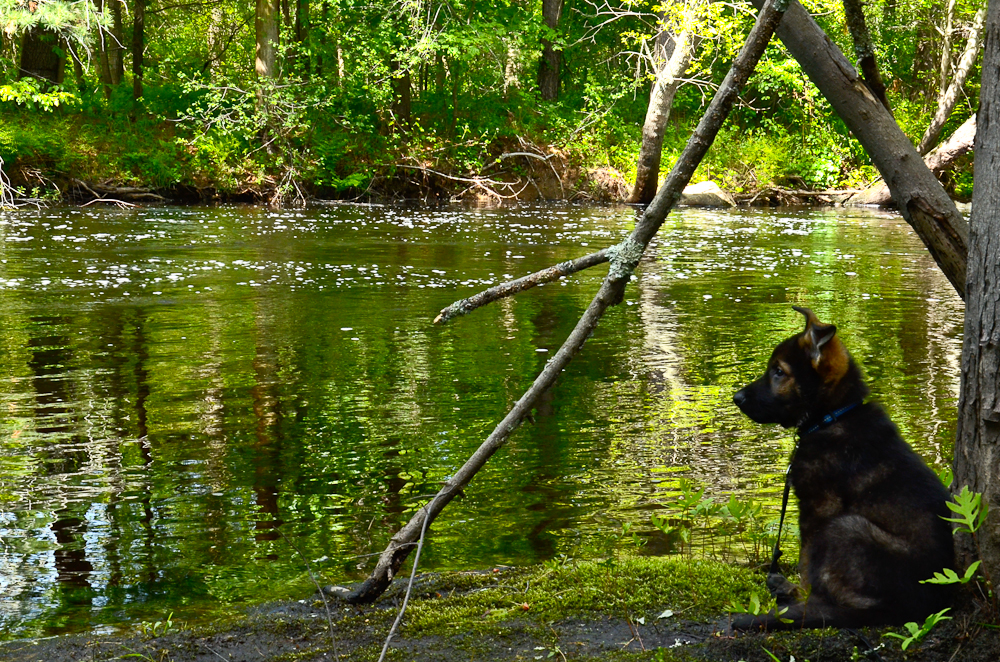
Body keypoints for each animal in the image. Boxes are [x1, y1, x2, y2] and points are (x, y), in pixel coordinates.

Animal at [732, 308, 956, 632]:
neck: (832, 417)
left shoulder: (819, 508)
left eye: (779, 372)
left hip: (843, 528)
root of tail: (910, 610)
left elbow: (807, 563)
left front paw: (800, 595)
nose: (736, 398)